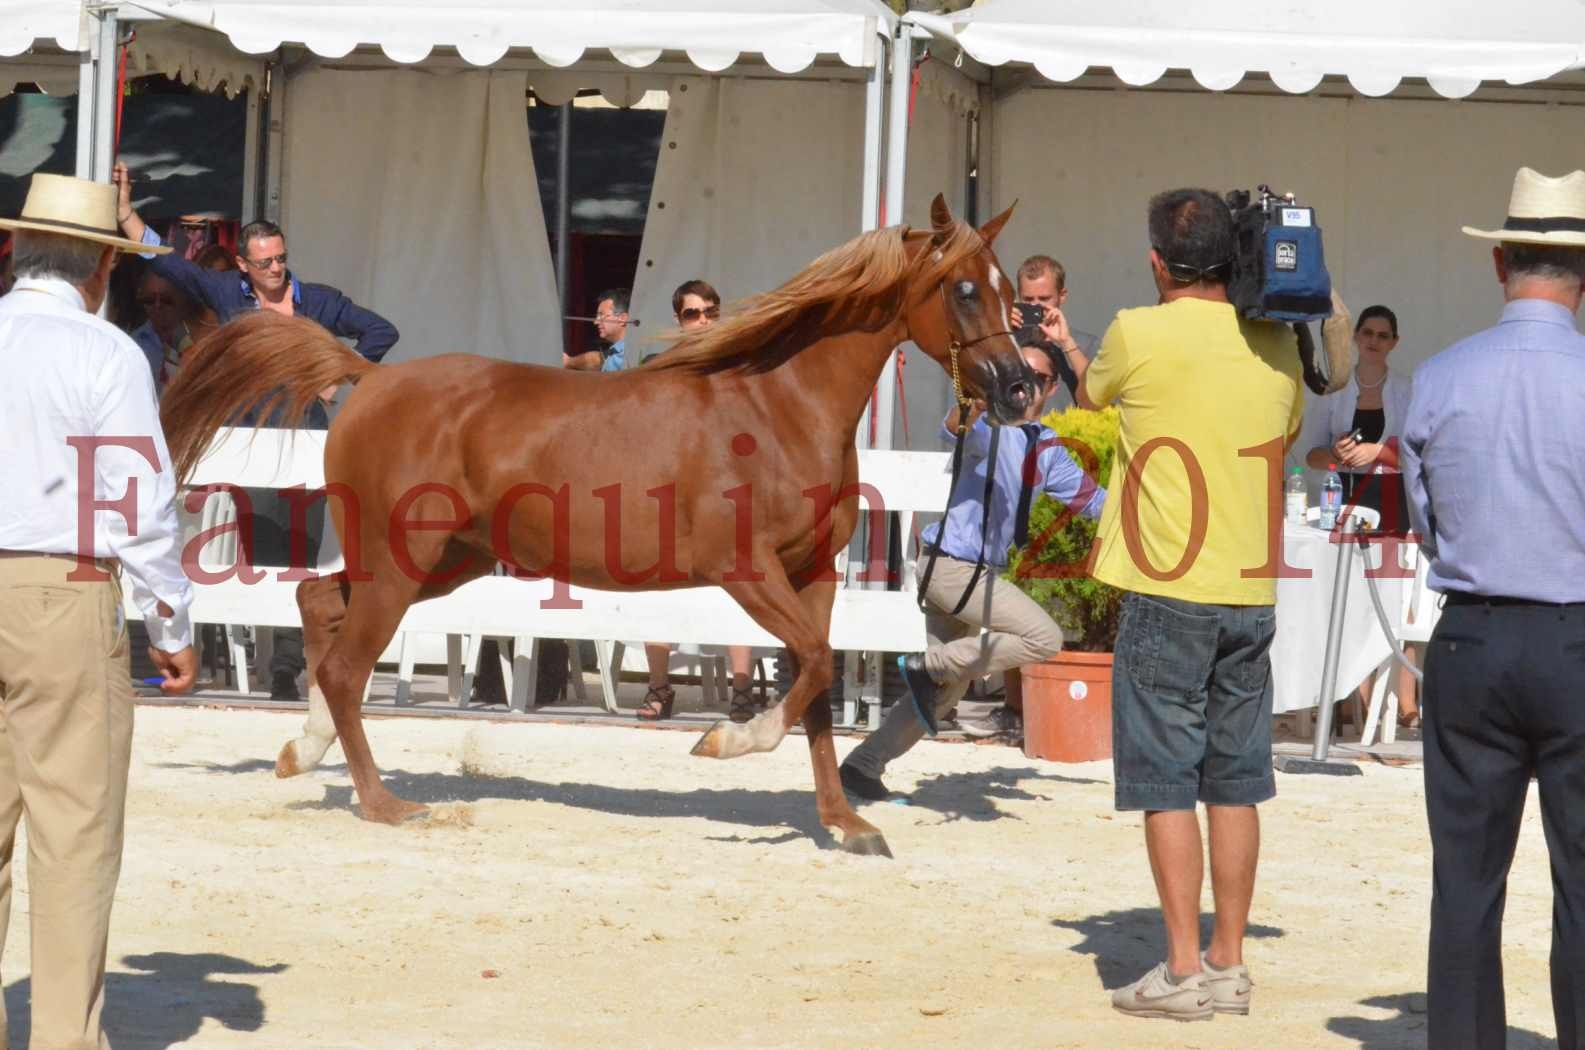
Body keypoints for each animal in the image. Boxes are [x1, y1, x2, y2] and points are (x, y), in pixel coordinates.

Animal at [157, 195, 1027, 856]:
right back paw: (385, 804)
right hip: (402, 561)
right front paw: (725, 742)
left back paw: (301, 751)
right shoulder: (746, 569)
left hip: (445, 561)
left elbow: (815, 686)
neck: (776, 407)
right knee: (344, 665)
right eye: (962, 289)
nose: (1019, 387)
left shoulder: (810, 575)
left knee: (316, 605)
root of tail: (369, 379)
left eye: (1007, 287)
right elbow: (810, 668)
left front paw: (846, 825)